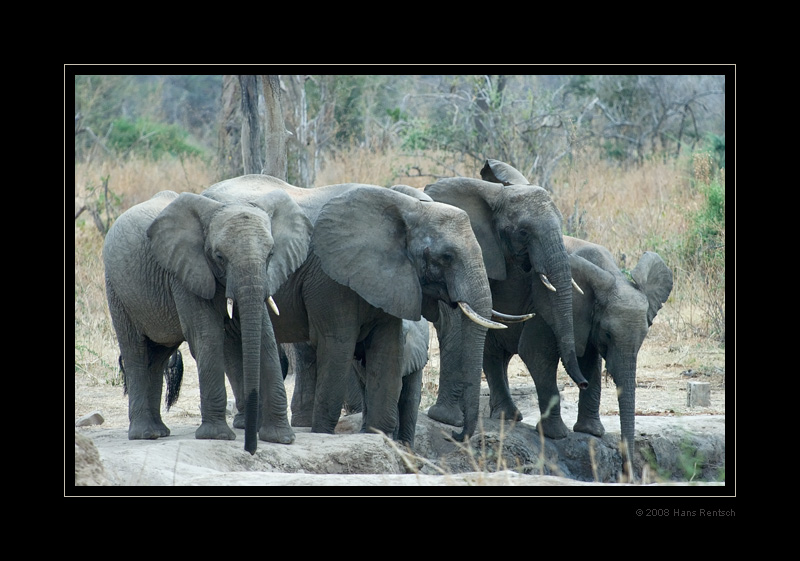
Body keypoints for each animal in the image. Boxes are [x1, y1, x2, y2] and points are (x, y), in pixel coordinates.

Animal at [105, 190, 316, 452]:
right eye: (219, 256)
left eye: (270, 254)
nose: (250, 447)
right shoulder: (184, 274)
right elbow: (207, 336)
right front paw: (217, 436)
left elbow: (266, 337)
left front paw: (282, 438)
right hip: (117, 292)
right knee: (136, 352)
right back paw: (145, 434)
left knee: (157, 357)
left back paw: (159, 432)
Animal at [200, 175, 512, 442]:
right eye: (446, 257)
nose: (458, 435)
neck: (409, 207)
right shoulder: (329, 277)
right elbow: (338, 345)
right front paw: (324, 433)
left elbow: (388, 349)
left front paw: (377, 435)